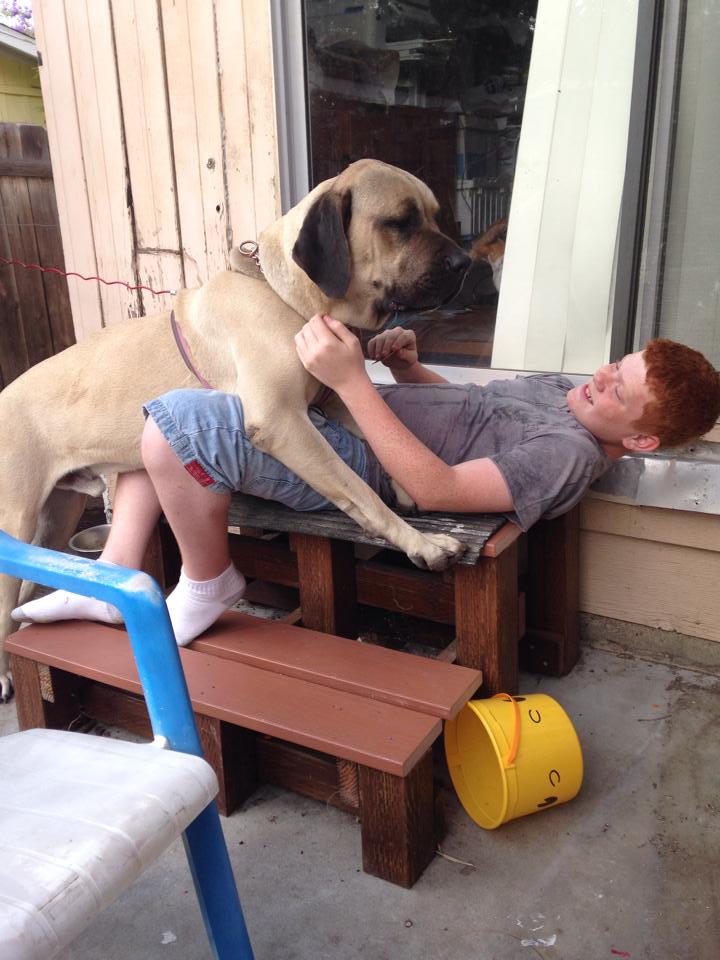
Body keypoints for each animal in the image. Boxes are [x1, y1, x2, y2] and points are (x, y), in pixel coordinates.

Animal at [0, 159, 471, 700]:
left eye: (434, 215)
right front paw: (420, 543)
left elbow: (374, 432)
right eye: (401, 222)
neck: (290, 299)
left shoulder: (330, 400)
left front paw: (405, 486)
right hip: (16, 518)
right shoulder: (283, 421)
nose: (466, 263)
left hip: (56, 516)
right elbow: (358, 490)